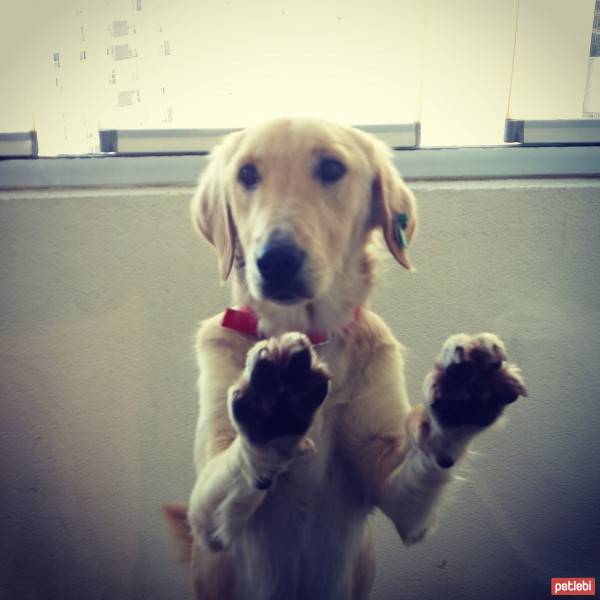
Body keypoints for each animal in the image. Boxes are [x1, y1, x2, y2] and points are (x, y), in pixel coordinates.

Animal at [163, 118, 524, 600]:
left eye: (332, 168)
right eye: (247, 175)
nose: (276, 261)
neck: (310, 336)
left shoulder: (395, 493)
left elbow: (427, 451)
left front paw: (461, 397)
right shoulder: (206, 511)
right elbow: (240, 461)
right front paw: (272, 407)